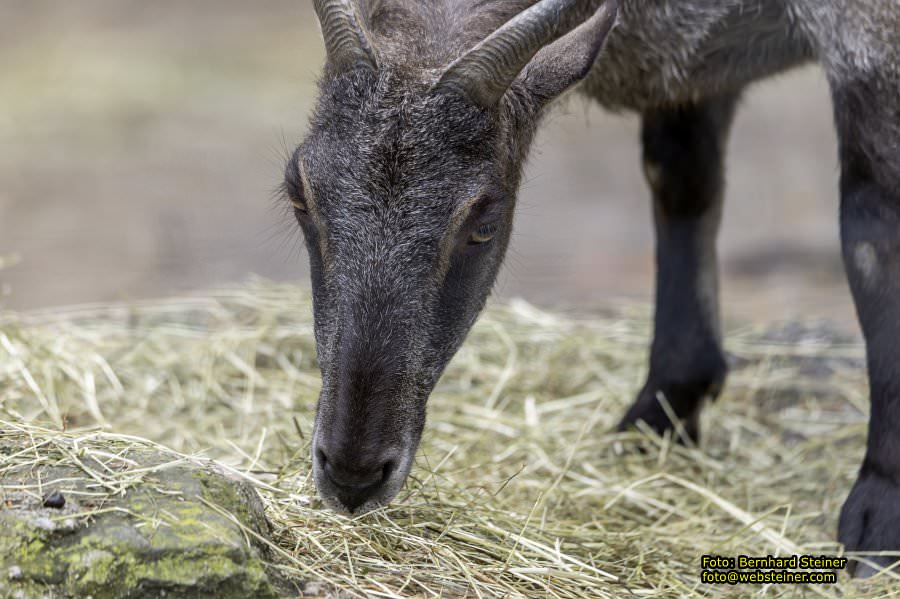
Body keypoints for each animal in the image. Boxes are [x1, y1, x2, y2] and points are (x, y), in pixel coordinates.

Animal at [290, 0, 900, 576]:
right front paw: (661, 414)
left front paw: (879, 513)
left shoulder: (872, 39)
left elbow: (874, 222)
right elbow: (681, 177)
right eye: (298, 193)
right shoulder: (688, 81)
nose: (353, 475)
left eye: (484, 223)